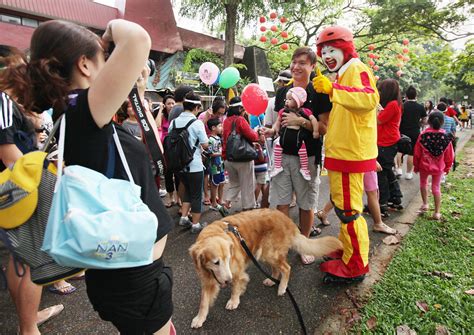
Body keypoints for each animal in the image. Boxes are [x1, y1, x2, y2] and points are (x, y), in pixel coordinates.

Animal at [189, 209, 340, 330]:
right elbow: (203, 302)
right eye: (216, 262)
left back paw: (282, 287)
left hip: (269, 252)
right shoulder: (207, 281)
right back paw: (272, 281)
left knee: (286, 268)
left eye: (228, 259)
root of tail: (287, 219)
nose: (228, 280)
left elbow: (236, 287)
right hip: (265, 253)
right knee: (277, 269)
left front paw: (233, 301)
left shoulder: (237, 273)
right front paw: (199, 318)